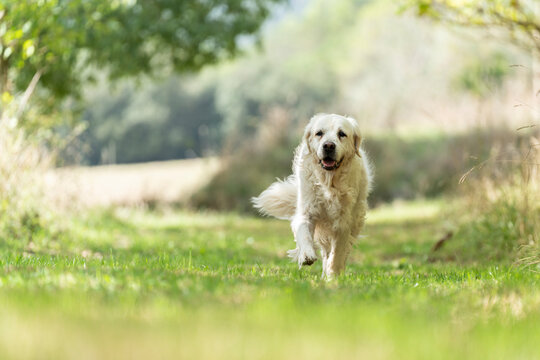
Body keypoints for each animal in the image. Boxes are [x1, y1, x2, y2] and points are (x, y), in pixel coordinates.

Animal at [252, 113, 372, 278]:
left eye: (342, 134)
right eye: (319, 133)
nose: (328, 146)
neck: (329, 183)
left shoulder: (343, 223)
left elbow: (338, 252)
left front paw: (333, 274)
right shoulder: (306, 212)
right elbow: (304, 234)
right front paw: (306, 255)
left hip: (356, 220)